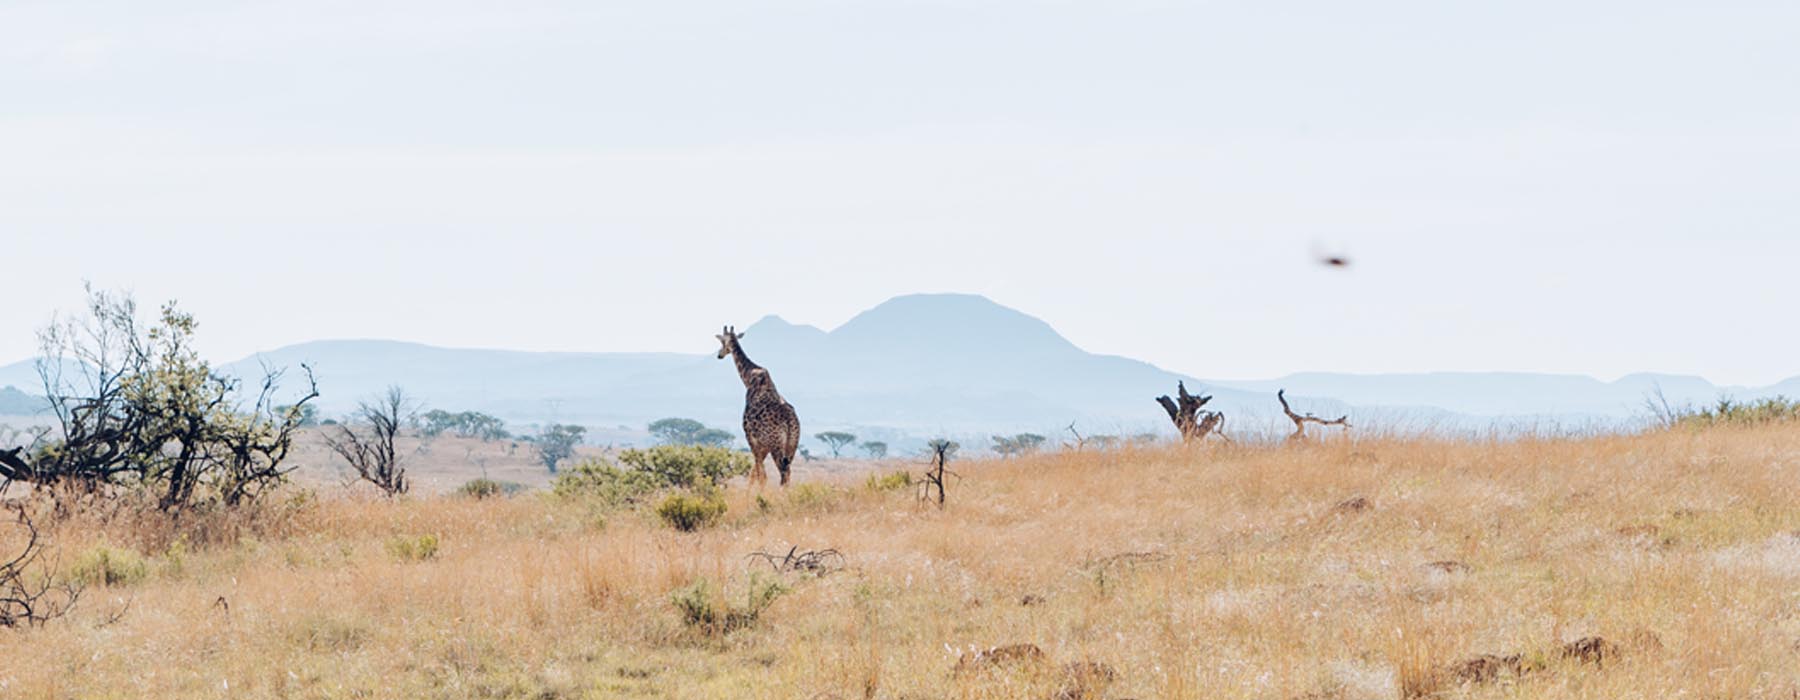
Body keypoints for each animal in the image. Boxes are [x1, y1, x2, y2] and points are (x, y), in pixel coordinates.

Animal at [716, 325, 802, 485]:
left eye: (722, 342)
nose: (719, 354)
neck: (749, 377)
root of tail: (790, 421)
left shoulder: (750, 436)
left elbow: (760, 474)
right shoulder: (763, 444)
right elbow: (755, 473)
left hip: (776, 445)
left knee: (783, 472)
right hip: (792, 445)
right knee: (788, 472)